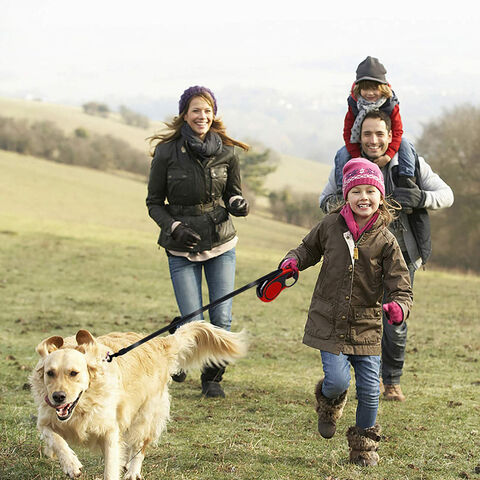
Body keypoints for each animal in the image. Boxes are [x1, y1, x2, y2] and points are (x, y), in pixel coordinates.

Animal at [30, 318, 248, 480]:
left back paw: (133, 471)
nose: (58, 397)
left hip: (146, 415)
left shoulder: (109, 431)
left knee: (139, 446)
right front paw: (70, 464)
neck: (82, 405)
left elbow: (111, 467)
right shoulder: (46, 420)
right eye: (50, 373)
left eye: (74, 373)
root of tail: (158, 343)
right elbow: (55, 438)